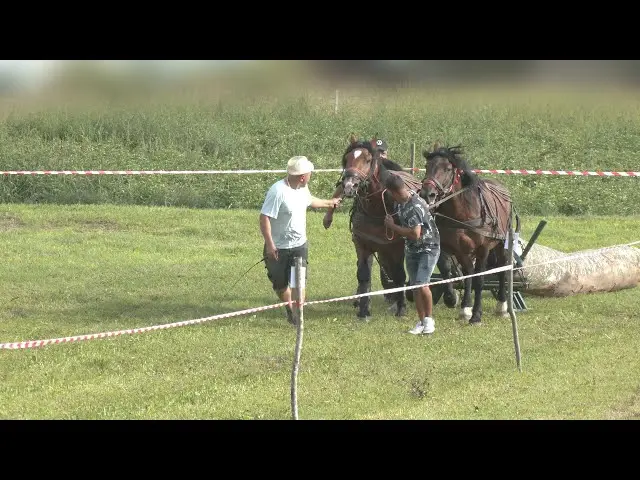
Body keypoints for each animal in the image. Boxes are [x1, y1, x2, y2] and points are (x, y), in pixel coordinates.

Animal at [328, 135, 422, 320]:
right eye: (347, 158)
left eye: (368, 159)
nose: (349, 185)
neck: (376, 208)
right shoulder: (363, 244)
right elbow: (364, 275)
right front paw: (364, 310)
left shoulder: (397, 246)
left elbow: (399, 275)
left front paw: (401, 308)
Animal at [420, 141, 520, 324]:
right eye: (427, 166)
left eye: (448, 168)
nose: (426, 194)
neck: (462, 213)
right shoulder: (449, 246)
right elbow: (447, 269)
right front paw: (452, 299)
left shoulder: (483, 249)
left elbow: (479, 279)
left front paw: (476, 315)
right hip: (464, 252)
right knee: (468, 273)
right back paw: (465, 307)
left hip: (501, 243)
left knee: (501, 268)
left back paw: (502, 305)